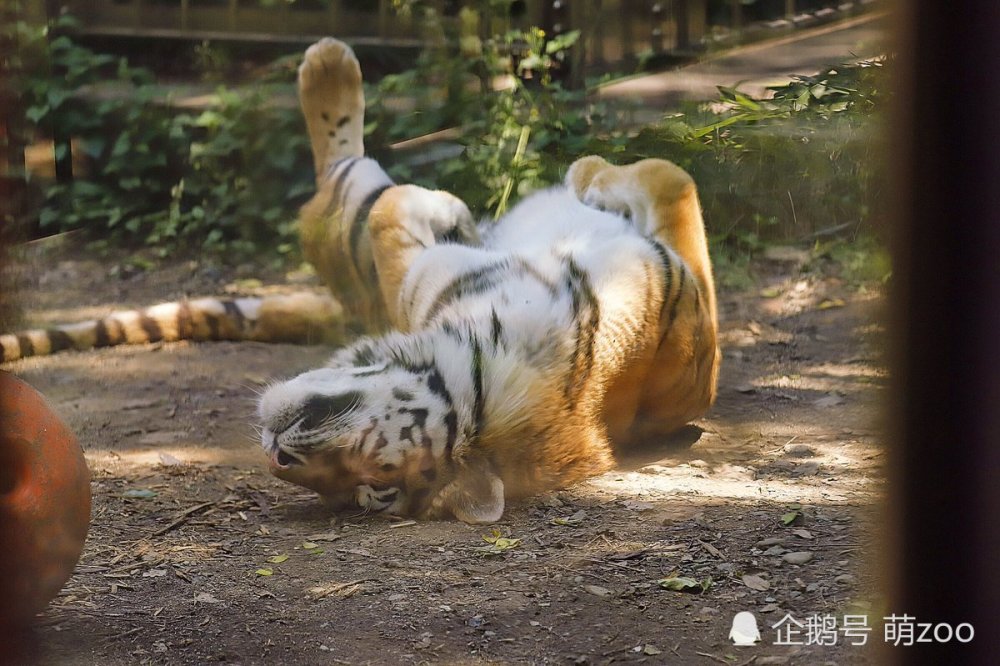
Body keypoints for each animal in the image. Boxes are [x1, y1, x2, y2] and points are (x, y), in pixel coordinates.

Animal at [254, 37, 716, 524]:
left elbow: (385, 212)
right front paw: (585, 175)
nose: (275, 457)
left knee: (342, 175)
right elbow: (674, 177)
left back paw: (328, 64)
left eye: (370, 482)